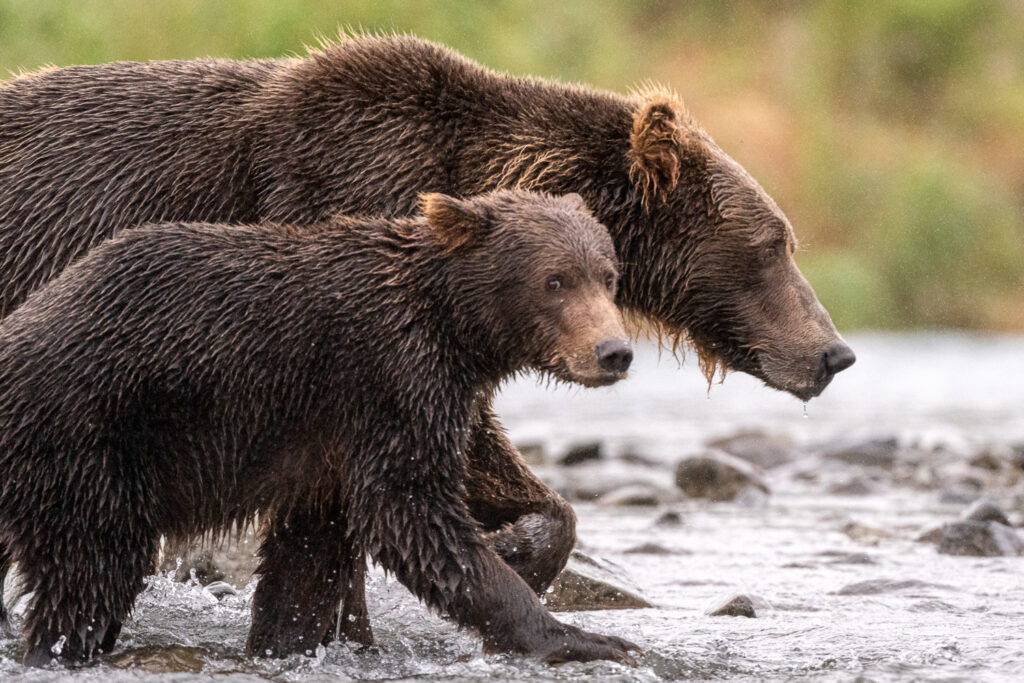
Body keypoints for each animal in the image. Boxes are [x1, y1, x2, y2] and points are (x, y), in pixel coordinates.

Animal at [0, 189, 640, 666]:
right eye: (555, 280)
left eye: (608, 276)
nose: (614, 352)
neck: (454, 329)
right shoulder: (388, 381)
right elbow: (416, 514)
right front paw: (583, 636)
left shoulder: (332, 436)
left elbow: (310, 556)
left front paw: (290, 641)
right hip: (88, 440)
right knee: (94, 570)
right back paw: (60, 647)